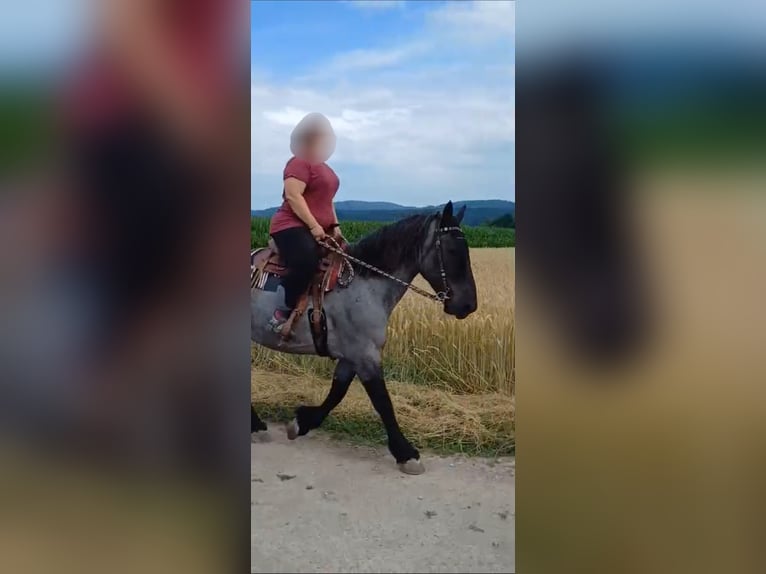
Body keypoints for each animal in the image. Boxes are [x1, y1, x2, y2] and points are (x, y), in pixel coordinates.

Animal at [250, 201, 478, 474]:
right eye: (452, 250)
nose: (468, 305)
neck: (364, 284)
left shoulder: (352, 355)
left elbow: (337, 392)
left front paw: (302, 421)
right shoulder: (365, 354)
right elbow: (382, 401)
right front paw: (406, 453)